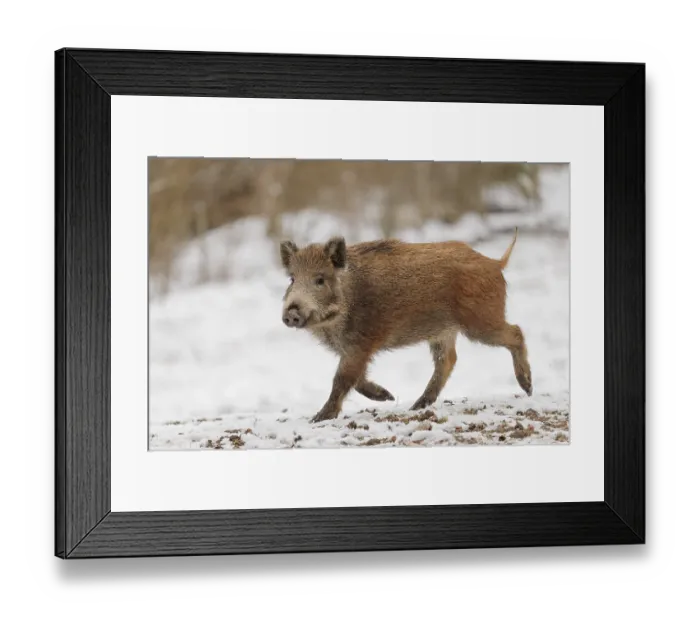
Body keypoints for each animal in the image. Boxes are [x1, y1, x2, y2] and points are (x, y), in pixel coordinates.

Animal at [279, 229, 532, 423]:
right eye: (292, 279)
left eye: (320, 279)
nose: (291, 312)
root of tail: (495, 263)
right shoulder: (353, 349)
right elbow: (355, 378)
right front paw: (388, 396)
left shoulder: (360, 344)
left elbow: (342, 379)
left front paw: (318, 418)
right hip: (443, 332)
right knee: (448, 360)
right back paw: (417, 405)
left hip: (480, 321)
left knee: (516, 332)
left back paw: (527, 387)